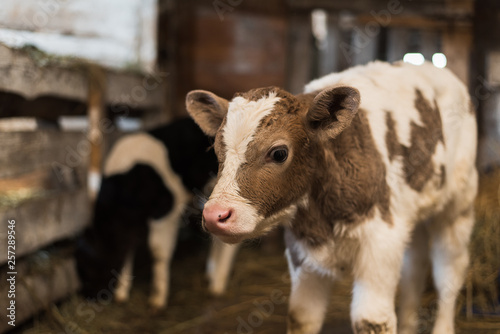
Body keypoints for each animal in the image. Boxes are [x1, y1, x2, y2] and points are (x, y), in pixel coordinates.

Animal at [76, 118, 240, 310]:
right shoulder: (130, 224)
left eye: (88, 265)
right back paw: (212, 274)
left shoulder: (164, 212)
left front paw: (158, 298)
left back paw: (218, 284)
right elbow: (128, 250)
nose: (86, 297)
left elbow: (158, 251)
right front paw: (122, 292)